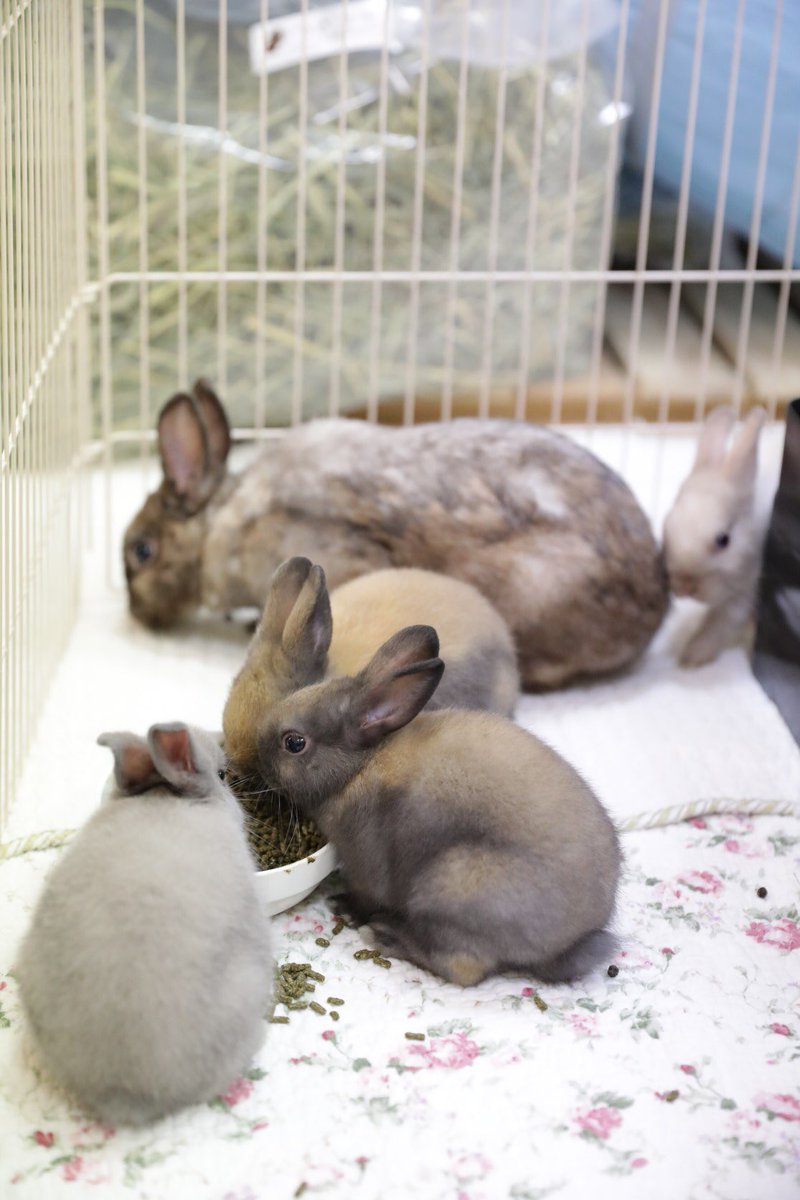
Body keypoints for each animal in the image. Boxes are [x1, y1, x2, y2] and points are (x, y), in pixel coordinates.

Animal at [253, 625, 621, 987]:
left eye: (294, 743)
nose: (255, 757)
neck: (360, 766)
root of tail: (574, 941)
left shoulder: (366, 863)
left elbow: (366, 895)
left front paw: (343, 906)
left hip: (452, 886)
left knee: (462, 968)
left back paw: (388, 936)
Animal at [663, 405, 767, 667]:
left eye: (723, 540)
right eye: (667, 524)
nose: (685, 584)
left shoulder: (745, 590)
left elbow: (720, 626)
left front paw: (691, 657)